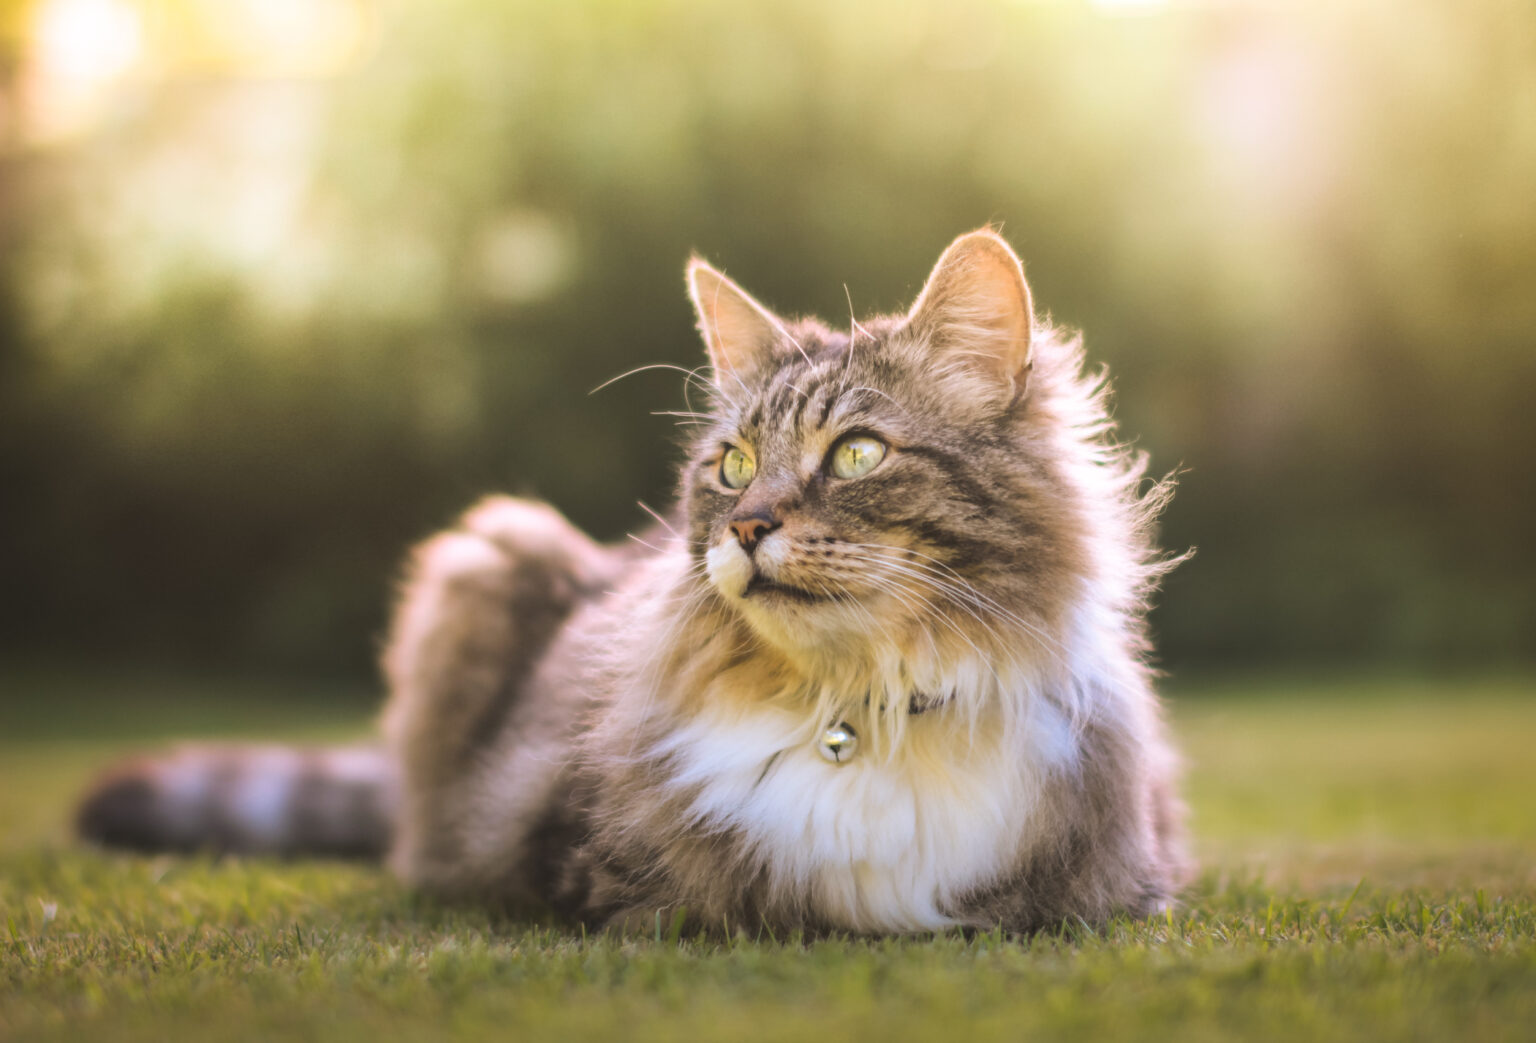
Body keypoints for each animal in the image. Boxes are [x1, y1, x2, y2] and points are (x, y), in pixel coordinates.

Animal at [77, 230, 1185, 940]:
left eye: (859, 453)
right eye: (733, 465)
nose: (746, 527)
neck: (856, 703)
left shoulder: (1127, 881)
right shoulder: (585, 866)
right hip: (486, 554)